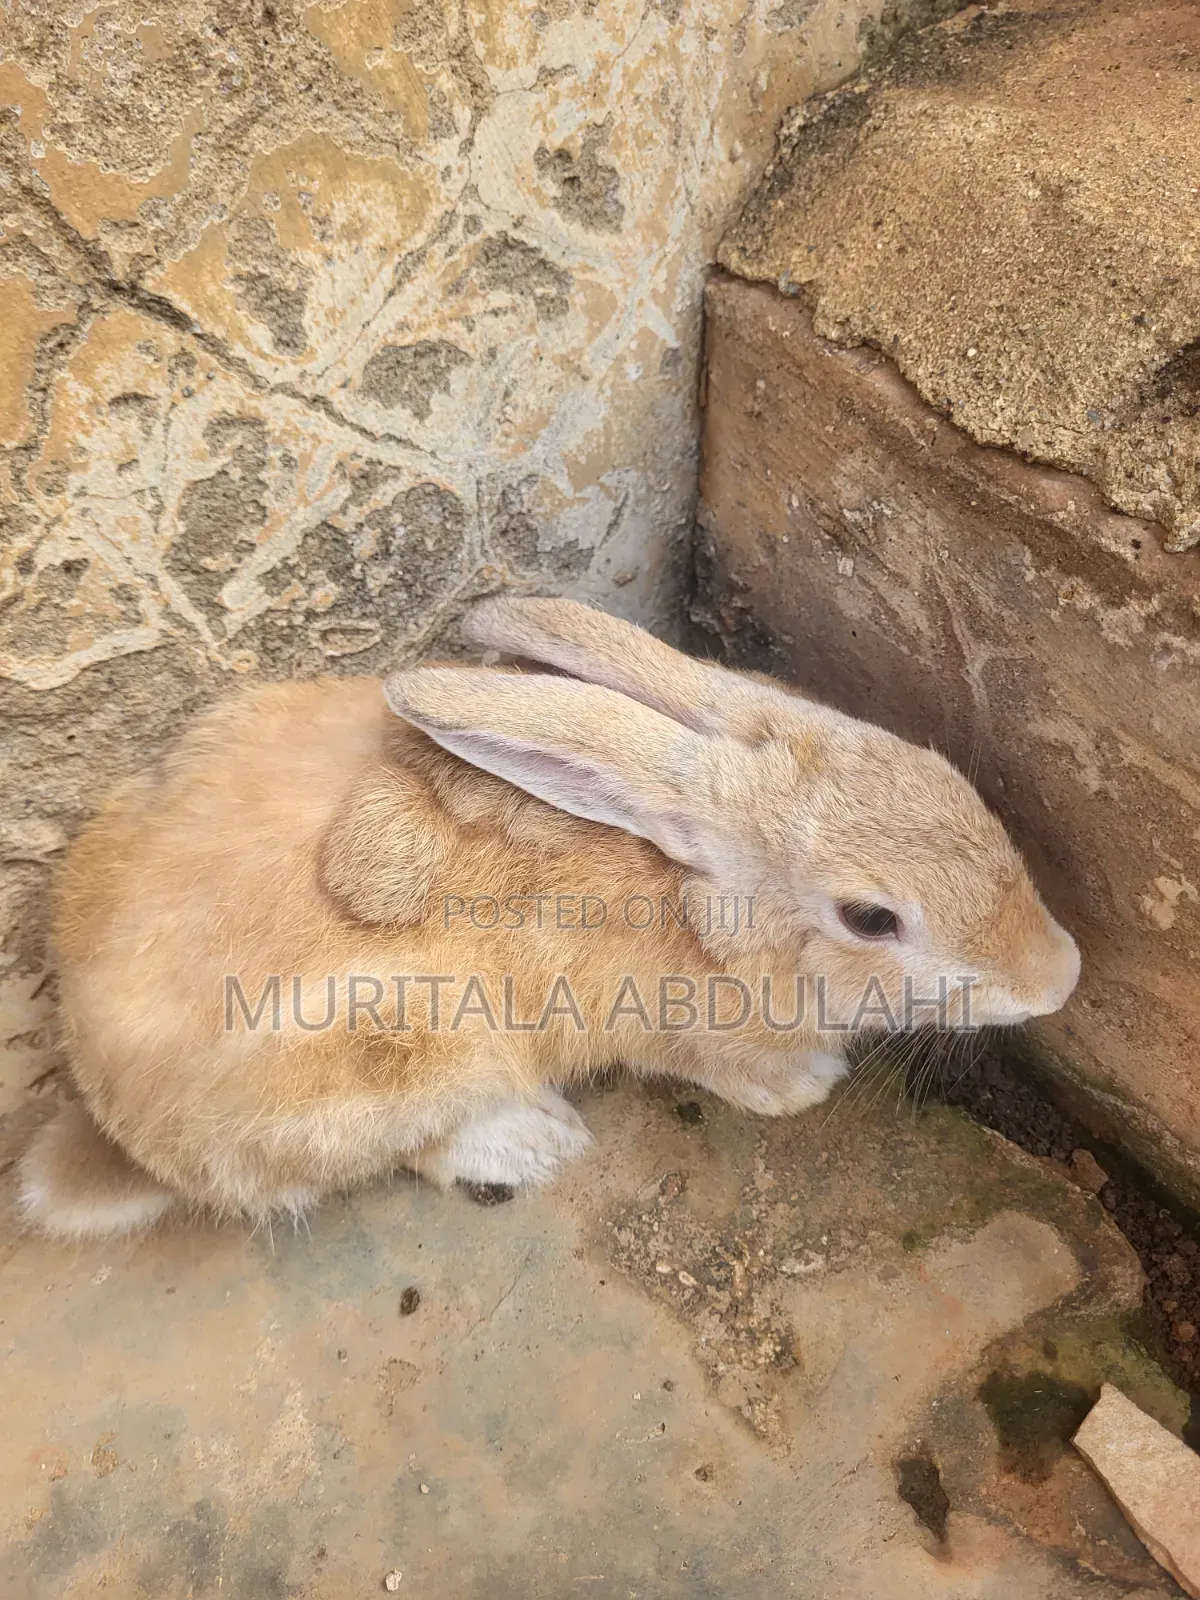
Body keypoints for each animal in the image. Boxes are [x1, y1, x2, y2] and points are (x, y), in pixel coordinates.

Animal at [18, 596, 1080, 1238]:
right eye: (870, 918)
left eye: (948, 777)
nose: (1059, 974)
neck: (704, 904)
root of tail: (122, 1122)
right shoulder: (670, 1027)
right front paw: (802, 1086)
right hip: (401, 1054)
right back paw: (535, 1142)